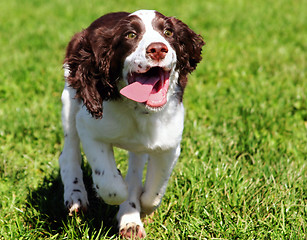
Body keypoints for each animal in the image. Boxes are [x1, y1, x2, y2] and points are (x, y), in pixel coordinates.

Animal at [59, 8, 206, 238]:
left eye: (168, 32)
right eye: (130, 35)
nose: (158, 49)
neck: (138, 110)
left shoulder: (169, 144)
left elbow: (153, 192)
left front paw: (138, 208)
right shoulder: (89, 128)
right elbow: (111, 185)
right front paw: (117, 188)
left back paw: (131, 221)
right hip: (70, 99)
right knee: (68, 153)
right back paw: (76, 197)